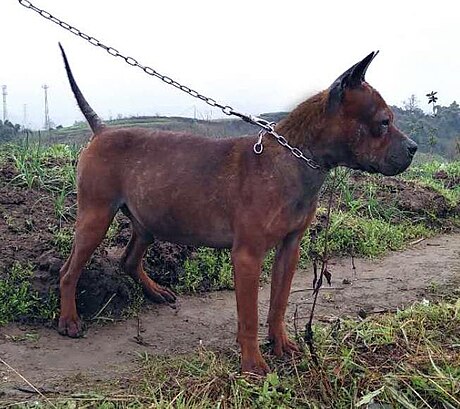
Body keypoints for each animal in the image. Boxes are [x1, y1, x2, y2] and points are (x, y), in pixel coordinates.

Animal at [56, 46, 416, 374]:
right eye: (384, 122)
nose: (413, 148)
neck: (292, 160)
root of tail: (103, 130)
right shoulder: (247, 256)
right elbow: (250, 316)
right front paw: (253, 364)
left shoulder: (290, 249)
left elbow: (278, 303)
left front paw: (280, 343)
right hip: (95, 219)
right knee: (68, 272)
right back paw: (69, 319)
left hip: (147, 223)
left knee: (129, 260)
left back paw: (155, 292)